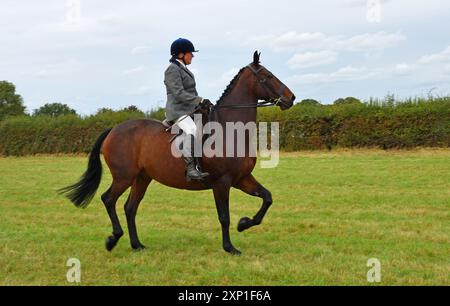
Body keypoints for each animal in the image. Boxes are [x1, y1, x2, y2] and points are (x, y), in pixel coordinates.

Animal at [61, 51, 298, 255]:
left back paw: (137, 245)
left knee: (130, 207)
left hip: (142, 178)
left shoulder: (241, 178)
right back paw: (113, 239)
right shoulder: (222, 182)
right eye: (268, 76)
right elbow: (224, 216)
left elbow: (267, 198)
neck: (230, 129)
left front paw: (244, 224)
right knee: (109, 199)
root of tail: (113, 129)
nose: (292, 98)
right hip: (124, 176)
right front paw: (230, 247)